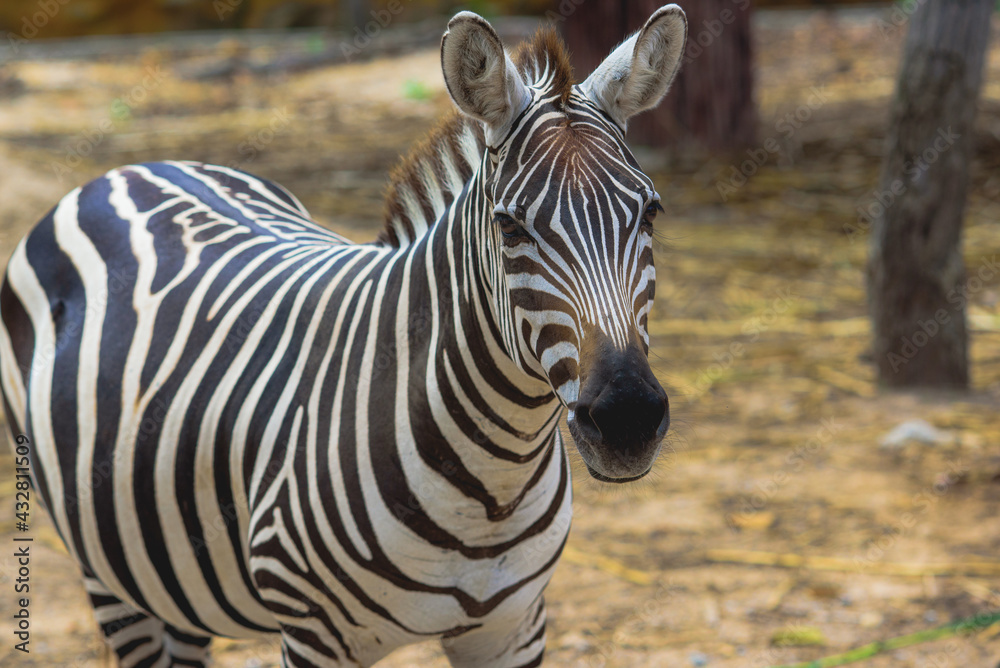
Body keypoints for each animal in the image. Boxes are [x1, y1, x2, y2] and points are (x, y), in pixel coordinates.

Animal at [0, 6, 686, 667]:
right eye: (510, 227)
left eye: (651, 213)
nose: (627, 419)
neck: (493, 488)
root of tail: (136, 168)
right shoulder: (313, 634)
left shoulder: (512, 627)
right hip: (106, 569)